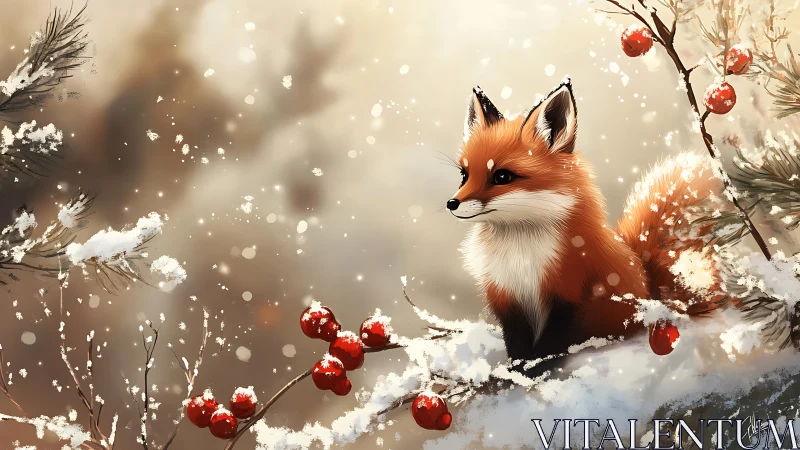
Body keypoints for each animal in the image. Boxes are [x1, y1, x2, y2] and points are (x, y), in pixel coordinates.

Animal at [447, 79, 733, 364]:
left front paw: (537, 367)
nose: (452, 203)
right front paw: (516, 367)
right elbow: (516, 342)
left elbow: (551, 342)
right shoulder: (506, 298)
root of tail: (651, 294)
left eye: (502, 176)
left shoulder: (570, 291)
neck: (521, 254)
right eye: (464, 175)